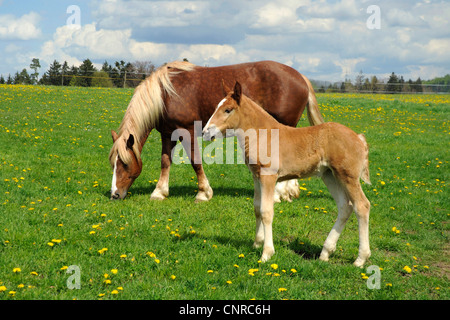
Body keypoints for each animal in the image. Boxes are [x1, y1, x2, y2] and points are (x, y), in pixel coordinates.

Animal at [108, 59, 324, 200]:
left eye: (124, 164)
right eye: (114, 164)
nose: (115, 194)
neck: (165, 95)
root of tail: (301, 77)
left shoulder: (187, 131)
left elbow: (195, 162)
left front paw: (203, 192)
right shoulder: (168, 133)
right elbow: (165, 161)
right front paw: (159, 192)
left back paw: (282, 193)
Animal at [205, 81, 372, 266]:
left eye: (228, 110)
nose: (206, 132)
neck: (263, 134)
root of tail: (358, 138)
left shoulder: (268, 176)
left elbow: (266, 211)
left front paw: (266, 253)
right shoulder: (256, 176)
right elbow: (257, 208)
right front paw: (256, 243)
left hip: (348, 176)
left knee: (362, 206)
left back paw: (360, 259)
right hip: (330, 175)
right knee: (345, 207)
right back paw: (325, 252)